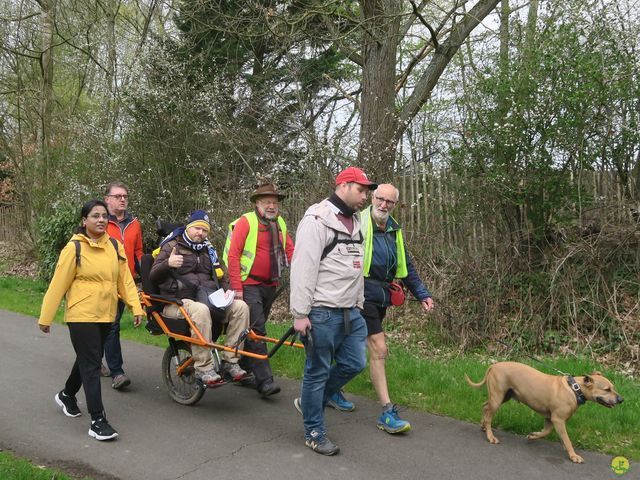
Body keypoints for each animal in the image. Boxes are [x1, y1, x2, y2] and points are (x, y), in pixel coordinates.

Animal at [464, 362, 624, 464]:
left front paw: (533, 435)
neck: (574, 389)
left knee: (486, 408)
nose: (621, 399)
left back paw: (483, 426)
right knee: (489, 415)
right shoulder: (558, 420)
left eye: (613, 387)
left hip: (504, 396)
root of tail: (494, 365)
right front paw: (573, 455)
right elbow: (567, 440)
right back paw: (490, 436)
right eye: (607, 389)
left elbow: (545, 432)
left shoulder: (550, 419)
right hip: (498, 397)